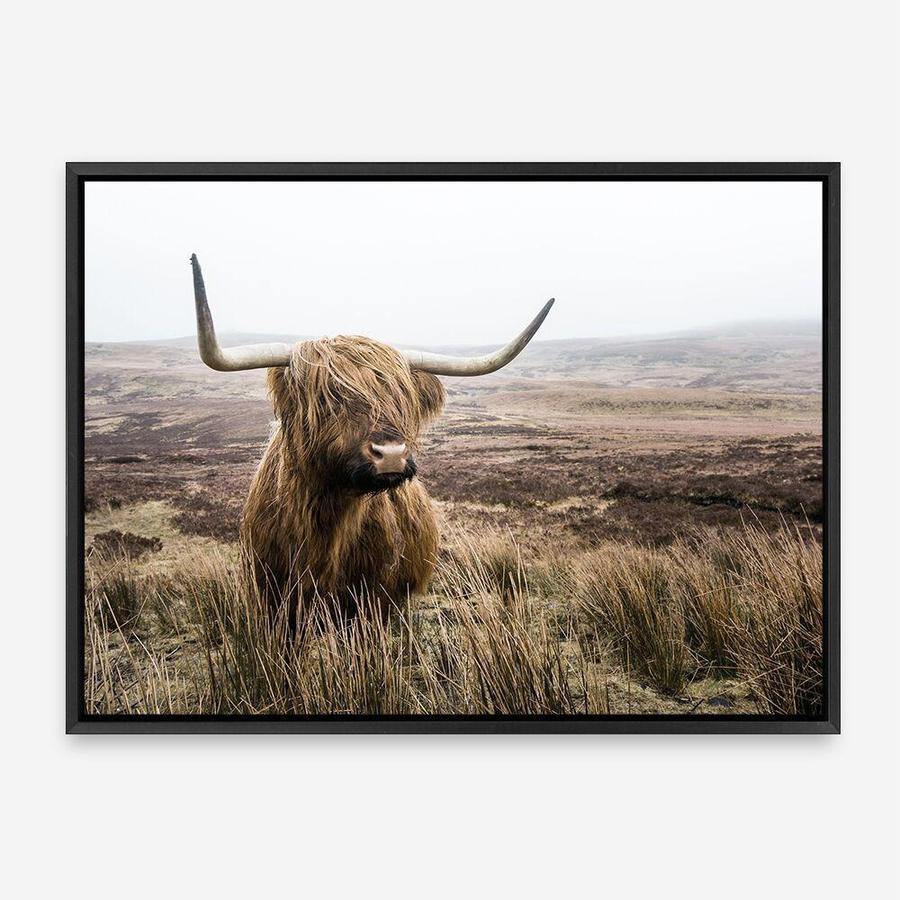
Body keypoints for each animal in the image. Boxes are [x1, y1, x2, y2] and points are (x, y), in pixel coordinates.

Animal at [189, 254, 553, 620]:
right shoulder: (270, 599)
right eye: (327, 398)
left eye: (402, 399)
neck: (326, 525)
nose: (391, 454)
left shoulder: (374, 600)